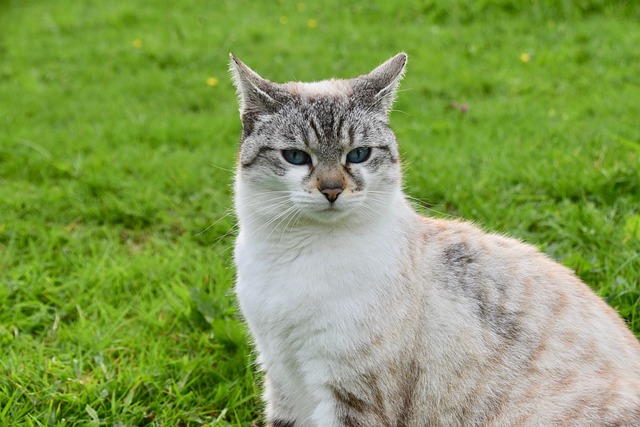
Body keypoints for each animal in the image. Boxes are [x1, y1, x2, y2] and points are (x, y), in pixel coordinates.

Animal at [229, 53, 640, 427]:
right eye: (296, 157)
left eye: (358, 154)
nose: (332, 190)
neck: (296, 253)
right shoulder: (281, 375)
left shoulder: (351, 393)